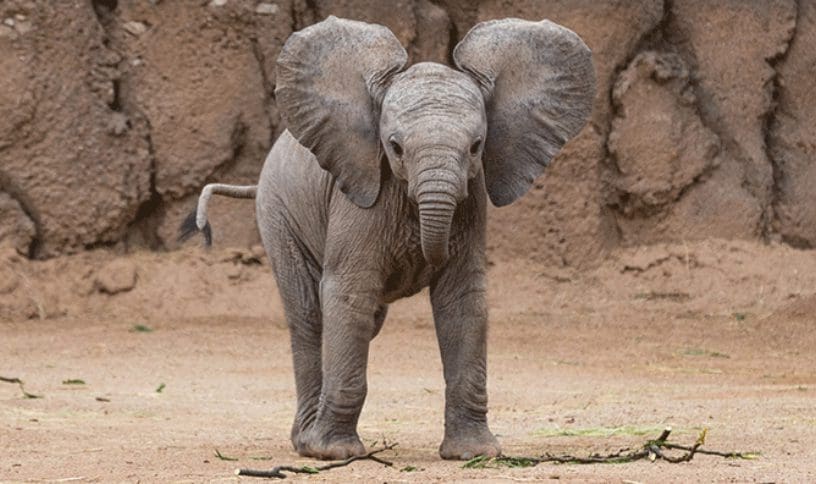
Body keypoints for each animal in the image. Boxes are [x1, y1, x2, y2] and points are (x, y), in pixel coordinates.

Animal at [182, 16, 596, 462]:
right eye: (394, 147)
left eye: (476, 147)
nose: (427, 253)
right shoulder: (360, 198)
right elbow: (349, 294)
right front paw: (334, 453)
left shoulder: (471, 202)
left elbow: (462, 299)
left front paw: (473, 454)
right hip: (277, 214)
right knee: (309, 315)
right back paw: (306, 443)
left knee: (362, 320)